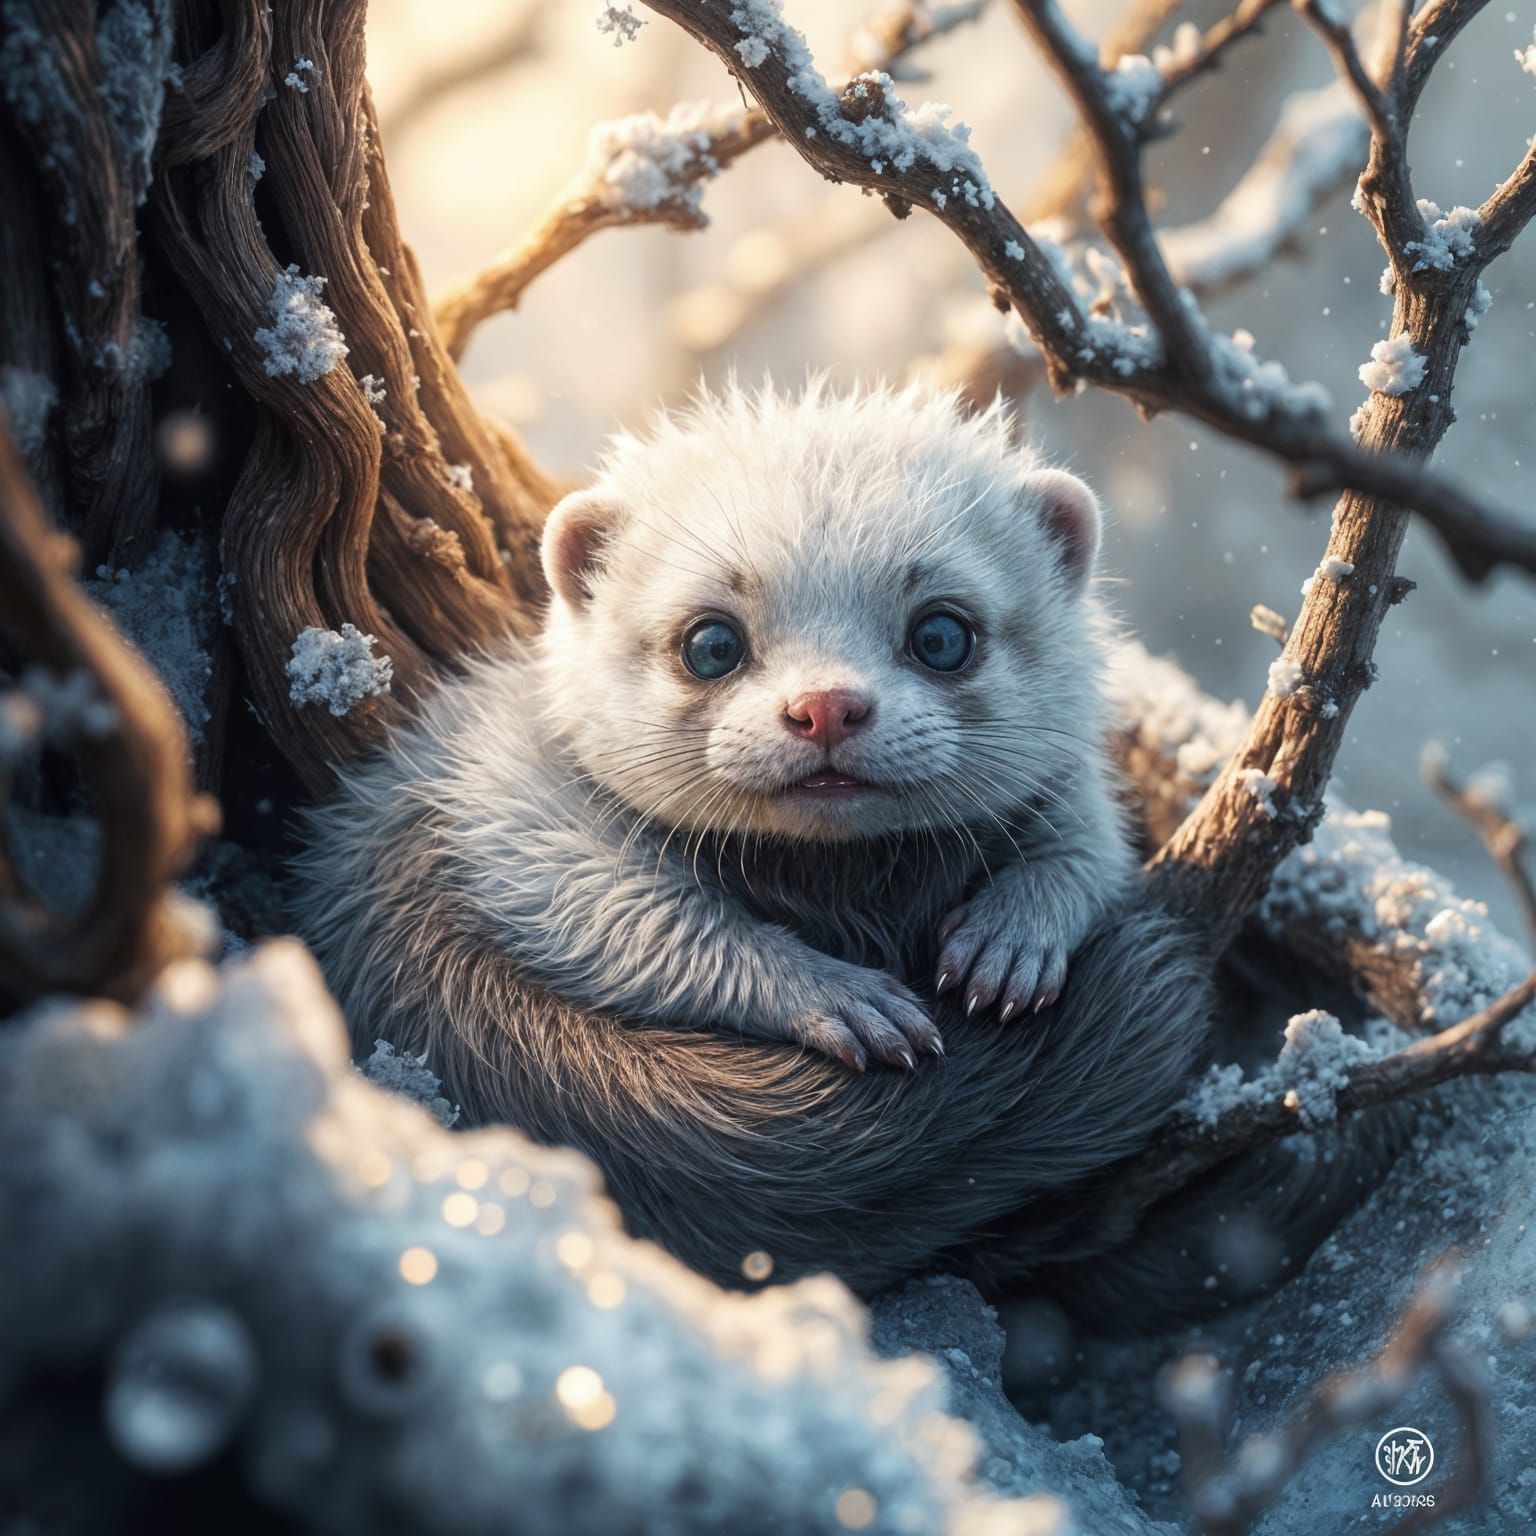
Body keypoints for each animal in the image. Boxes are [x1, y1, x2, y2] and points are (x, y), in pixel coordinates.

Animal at [293, 382, 1381, 1325]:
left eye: (943, 633)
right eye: (711, 642)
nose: (826, 706)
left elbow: (1084, 855)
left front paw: (1009, 943)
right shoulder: (504, 806)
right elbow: (634, 918)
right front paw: (844, 999)